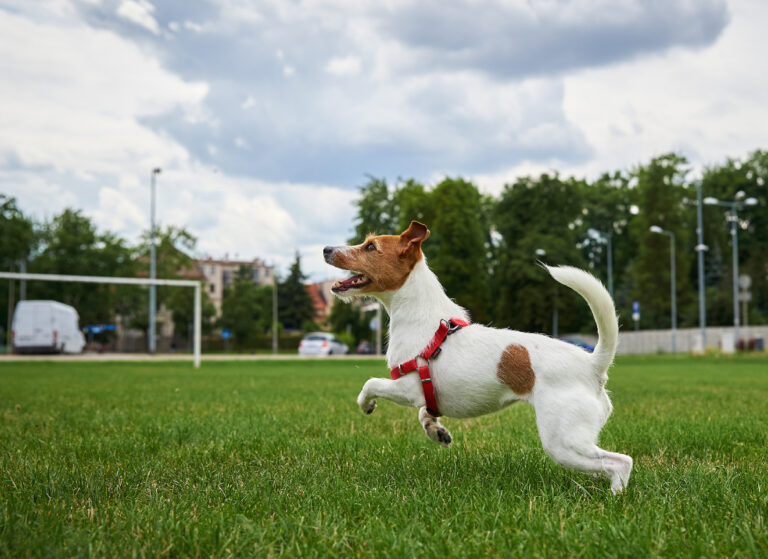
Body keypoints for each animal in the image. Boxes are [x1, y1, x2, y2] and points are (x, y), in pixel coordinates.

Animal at [320, 221, 632, 492]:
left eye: (371, 247)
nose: (325, 249)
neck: (424, 319)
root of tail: (592, 364)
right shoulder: (427, 394)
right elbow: (425, 413)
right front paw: (437, 431)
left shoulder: (407, 387)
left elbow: (370, 383)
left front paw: (366, 404)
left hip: (562, 442)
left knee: (620, 462)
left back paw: (614, 497)